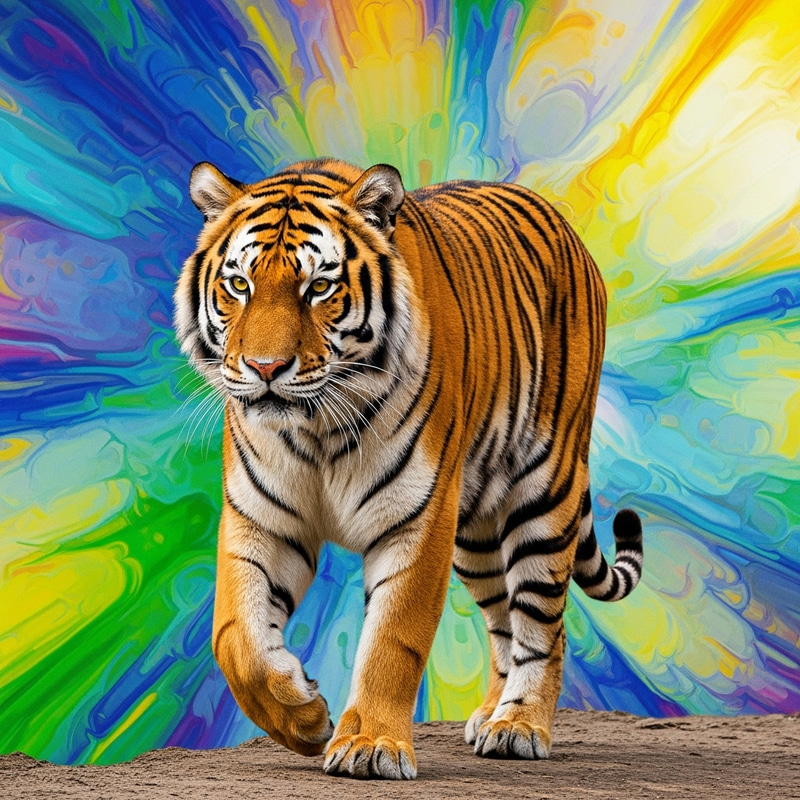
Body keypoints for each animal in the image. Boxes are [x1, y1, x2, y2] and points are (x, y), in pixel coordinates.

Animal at [174, 157, 644, 780]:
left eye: (318, 287)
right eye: (239, 286)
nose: (265, 368)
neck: (317, 428)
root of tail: (567, 228)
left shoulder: (417, 521)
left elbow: (393, 640)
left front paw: (370, 745)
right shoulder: (261, 520)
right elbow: (236, 638)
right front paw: (304, 717)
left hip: (545, 492)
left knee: (544, 625)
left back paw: (519, 726)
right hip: (475, 530)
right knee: (504, 619)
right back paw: (488, 716)